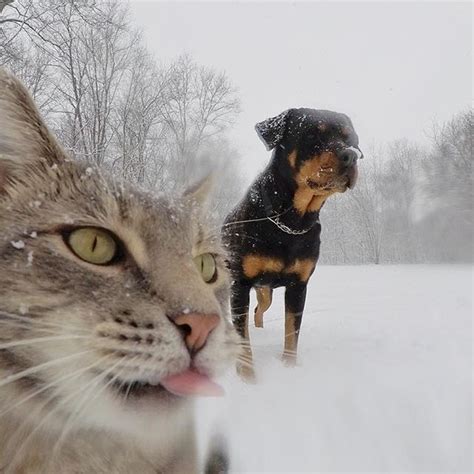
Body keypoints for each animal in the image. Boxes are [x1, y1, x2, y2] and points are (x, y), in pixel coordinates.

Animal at [224, 107, 362, 382]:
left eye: (350, 138)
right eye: (312, 135)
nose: (351, 155)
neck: (291, 222)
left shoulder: (299, 285)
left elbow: (292, 331)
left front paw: (289, 367)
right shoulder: (240, 283)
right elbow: (243, 338)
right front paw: (247, 377)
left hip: (264, 289)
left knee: (259, 310)